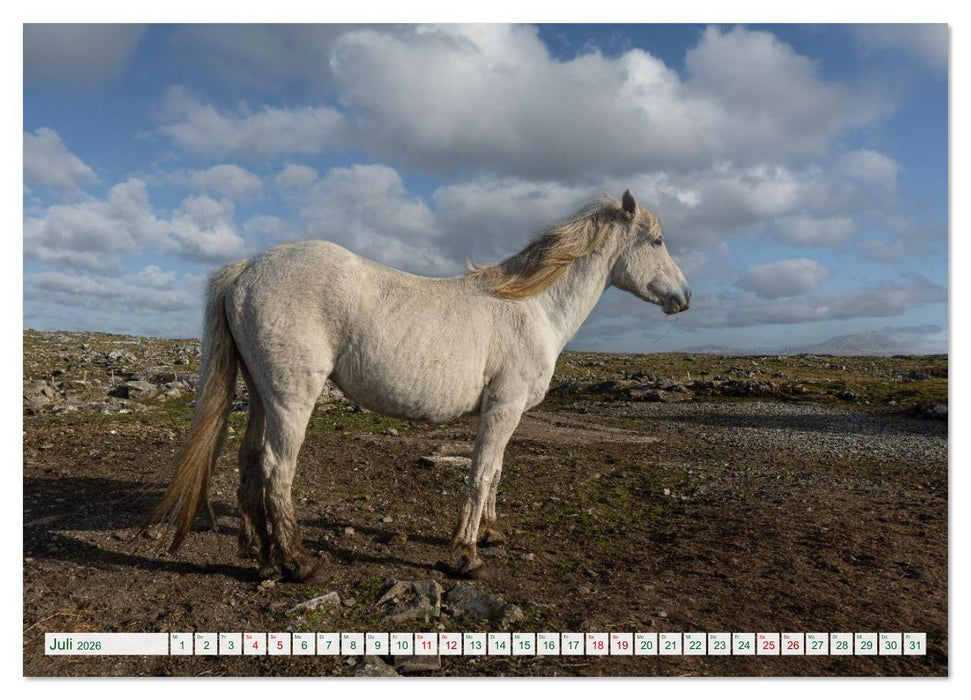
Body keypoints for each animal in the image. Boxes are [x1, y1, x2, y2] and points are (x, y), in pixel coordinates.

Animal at [147, 189, 691, 580]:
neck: (531, 307)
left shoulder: (507, 412)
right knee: (277, 469)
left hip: (261, 394)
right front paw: (465, 555)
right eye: (657, 241)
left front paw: (490, 533)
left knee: (249, 462)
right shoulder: (504, 407)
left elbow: (496, 472)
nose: (685, 297)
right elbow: (480, 474)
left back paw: (261, 556)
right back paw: (297, 562)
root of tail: (246, 269)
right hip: (291, 398)